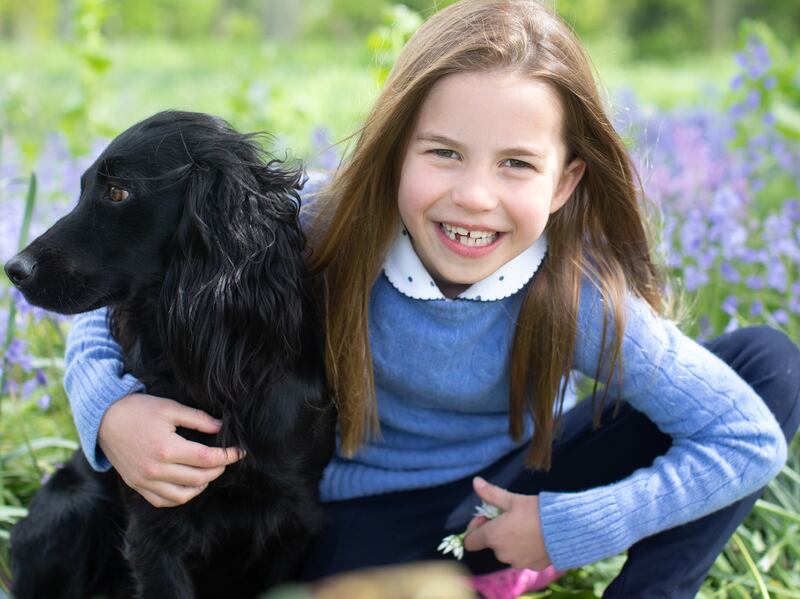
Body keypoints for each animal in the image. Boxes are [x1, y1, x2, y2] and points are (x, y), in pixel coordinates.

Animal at [3, 110, 334, 596]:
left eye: (117, 192)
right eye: (82, 187)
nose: (14, 269)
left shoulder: (295, 520)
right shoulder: (155, 524)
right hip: (71, 506)